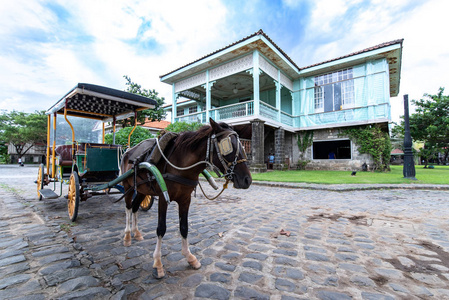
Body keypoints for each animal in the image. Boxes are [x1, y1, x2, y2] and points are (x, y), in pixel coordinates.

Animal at [120, 118, 252, 278]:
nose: (247, 180)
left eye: (242, 145)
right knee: (128, 208)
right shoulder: (163, 198)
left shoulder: (185, 199)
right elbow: (161, 228)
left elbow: (184, 227)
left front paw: (190, 257)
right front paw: (157, 263)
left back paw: (137, 233)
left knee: (134, 207)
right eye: (229, 146)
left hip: (142, 190)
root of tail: (128, 151)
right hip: (127, 186)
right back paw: (127, 236)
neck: (179, 164)